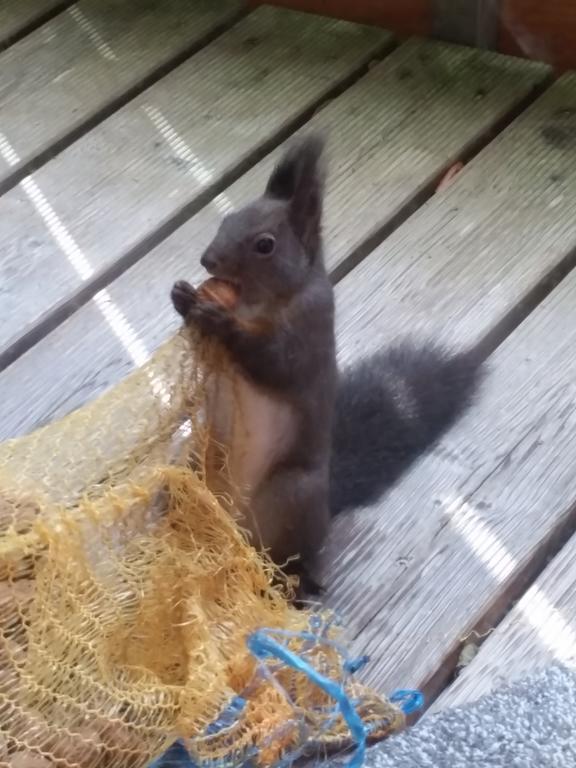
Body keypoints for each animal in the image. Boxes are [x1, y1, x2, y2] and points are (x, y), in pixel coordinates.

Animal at [171, 135, 482, 596]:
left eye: (265, 244)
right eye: (228, 218)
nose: (208, 260)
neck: (258, 304)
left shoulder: (310, 334)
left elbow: (274, 363)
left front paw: (218, 321)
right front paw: (181, 296)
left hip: (291, 496)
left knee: (292, 556)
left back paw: (295, 581)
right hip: (197, 457)